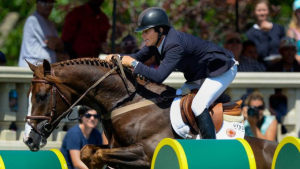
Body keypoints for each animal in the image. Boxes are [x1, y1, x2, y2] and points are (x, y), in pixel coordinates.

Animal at [24, 58, 278, 169]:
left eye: (41, 96)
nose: (29, 139)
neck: (125, 102)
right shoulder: (115, 145)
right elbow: (88, 150)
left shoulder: (146, 153)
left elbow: (98, 155)